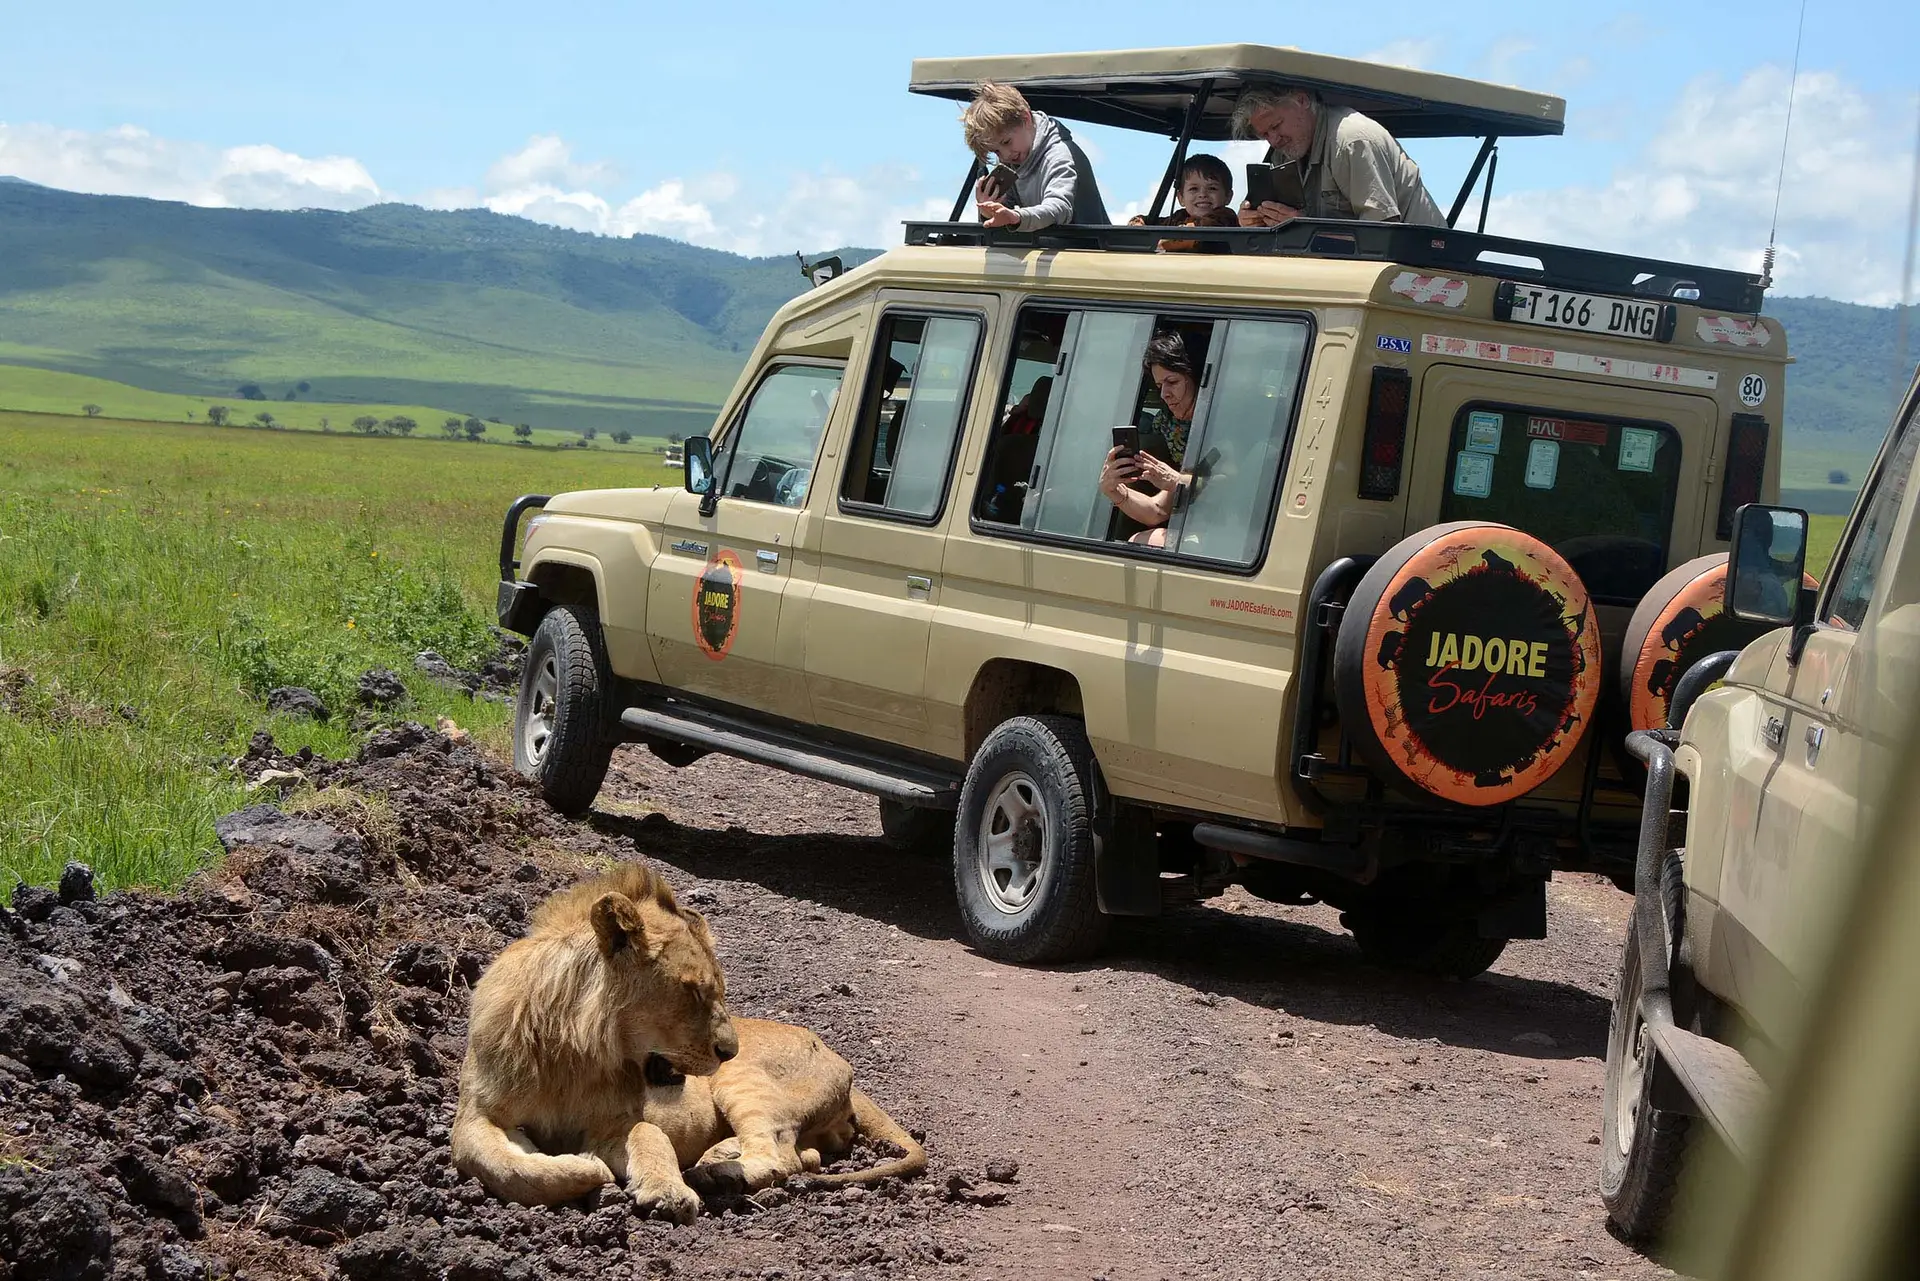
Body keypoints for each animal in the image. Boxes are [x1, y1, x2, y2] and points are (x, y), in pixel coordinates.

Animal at [451, 860, 929, 1221]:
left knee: (781, 1155)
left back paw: (714, 1173)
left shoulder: (617, 1122)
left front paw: (666, 1190)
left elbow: (649, 1134)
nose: (729, 1050)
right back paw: (719, 1157)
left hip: (744, 1082)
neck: (576, 1052)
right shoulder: (474, 1117)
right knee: (803, 1155)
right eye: (696, 991)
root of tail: (839, 1059)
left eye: (720, 991)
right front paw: (580, 1167)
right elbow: (505, 1165)